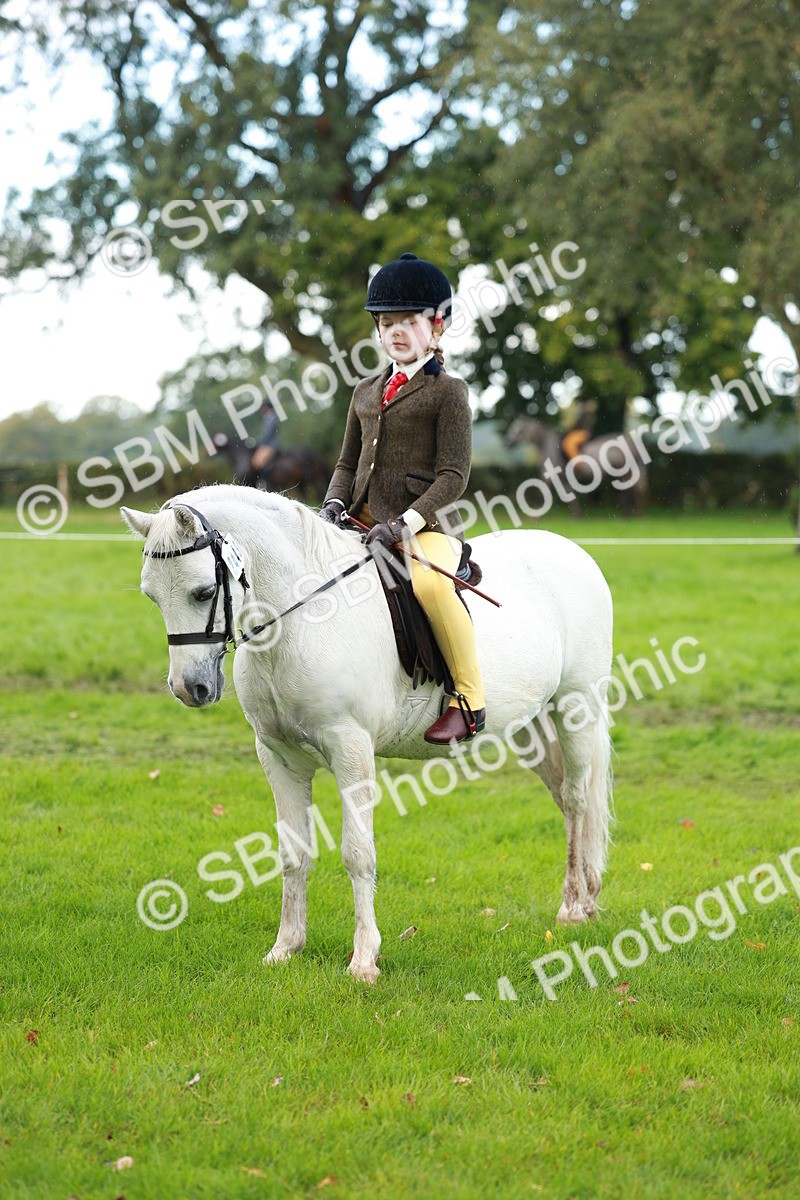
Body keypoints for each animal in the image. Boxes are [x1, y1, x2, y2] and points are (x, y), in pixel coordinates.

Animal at [122, 485, 614, 983]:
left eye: (203, 592)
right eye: (151, 596)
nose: (190, 689)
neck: (303, 620)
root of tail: (575, 553)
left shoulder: (351, 749)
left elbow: (358, 854)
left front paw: (363, 960)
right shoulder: (278, 756)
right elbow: (292, 853)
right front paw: (285, 949)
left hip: (576, 709)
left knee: (577, 799)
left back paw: (573, 908)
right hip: (534, 725)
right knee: (566, 800)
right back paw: (587, 898)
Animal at [505, 415, 649, 517]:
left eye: (518, 429)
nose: (508, 442)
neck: (547, 445)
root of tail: (630, 442)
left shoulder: (550, 477)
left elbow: (543, 494)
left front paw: (534, 517)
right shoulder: (562, 479)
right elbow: (570, 496)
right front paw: (576, 516)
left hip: (624, 471)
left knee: (631, 491)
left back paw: (631, 515)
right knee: (632, 491)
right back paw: (631, 514)